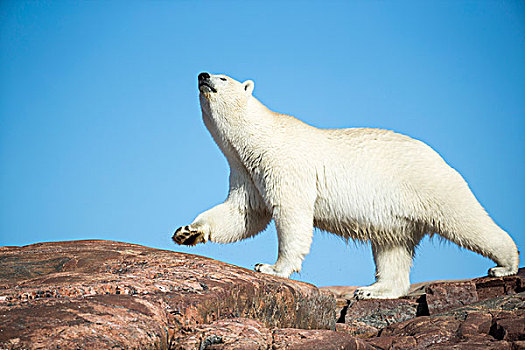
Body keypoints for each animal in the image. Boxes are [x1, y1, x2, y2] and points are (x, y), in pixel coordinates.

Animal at [173, 72, 520, 300]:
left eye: (224, 77)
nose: (203, 74)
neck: (260, 138)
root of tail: (441, 159)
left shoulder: (284, 165)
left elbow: (290, 215)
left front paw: (271, 267)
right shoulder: (246, 172)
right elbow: (243, 213)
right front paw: (187, 232)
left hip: (428, 184)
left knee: (466, 221)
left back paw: (504, 266)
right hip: (395, 214)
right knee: (392, 247)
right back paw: (373, 290)